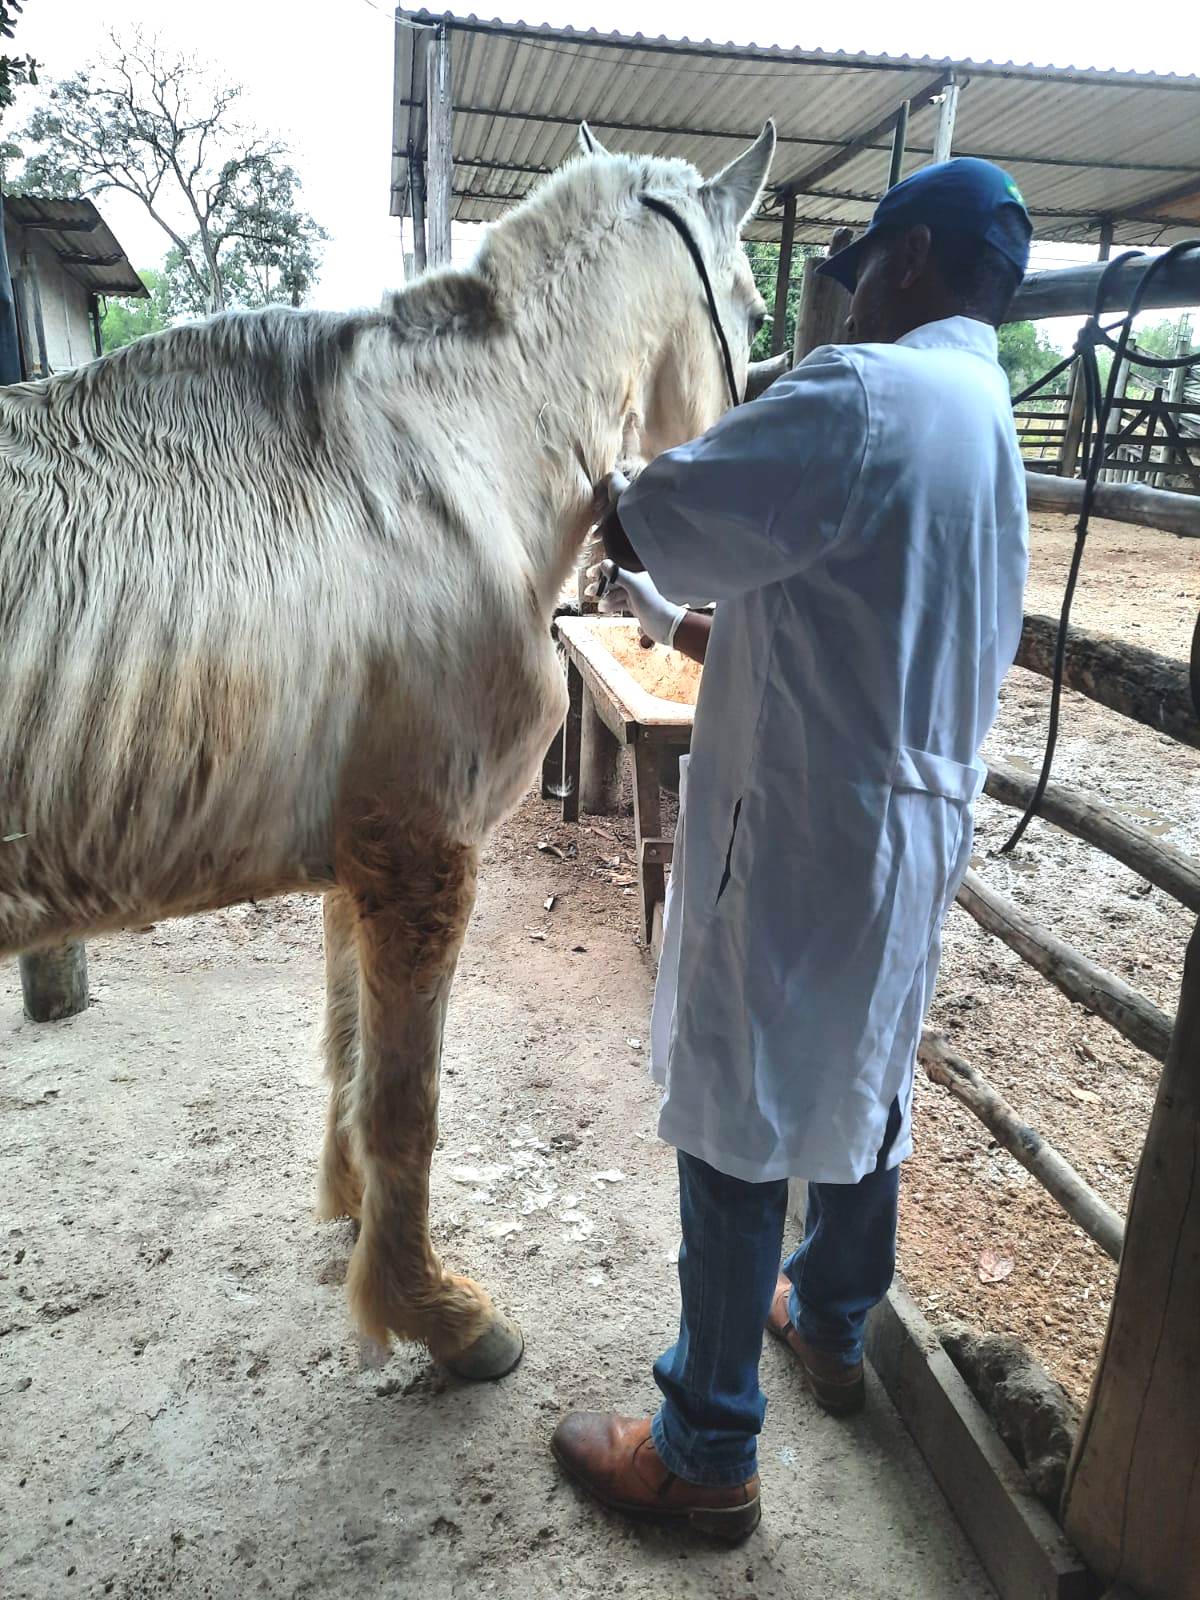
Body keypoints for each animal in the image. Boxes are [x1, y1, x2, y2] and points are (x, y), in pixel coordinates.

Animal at [0, 121, 774, 1376]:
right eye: (753, 304)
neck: (458, 464)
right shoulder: (422, 855)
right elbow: (406, 1103)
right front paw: (441, 1316)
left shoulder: (357, 866)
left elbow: (351, 1055)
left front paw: (359, 1221)